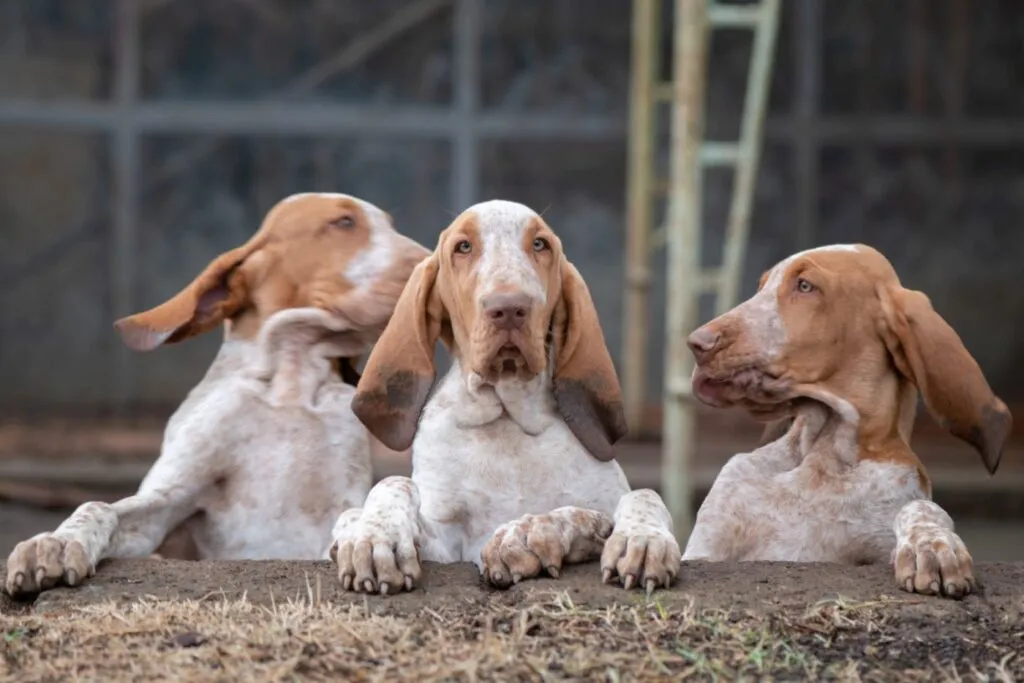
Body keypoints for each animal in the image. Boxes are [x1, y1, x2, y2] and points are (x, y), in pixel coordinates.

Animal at [4, 192, 428, 598]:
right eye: (344, 222)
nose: (429, 262)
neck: (290, 384)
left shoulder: (336, 506)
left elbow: (373, 500)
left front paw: (377, 537)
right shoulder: (170, 500)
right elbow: (98, 505)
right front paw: (56, 541)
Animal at [327, 200, 679, 593]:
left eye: (540, 244)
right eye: (463, 247)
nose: (509, 308)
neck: (508, 418)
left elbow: (641, 496)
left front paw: (642, 538)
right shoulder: (445, 544)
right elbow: (394, 484)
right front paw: (377, 537)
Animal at [679, 244, 1007, 598]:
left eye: (805, 285)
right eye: (762, 286)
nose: (697, 343)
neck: (825, 450)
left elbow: (921, 508)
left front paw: (932, 545)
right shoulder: (705, 548)